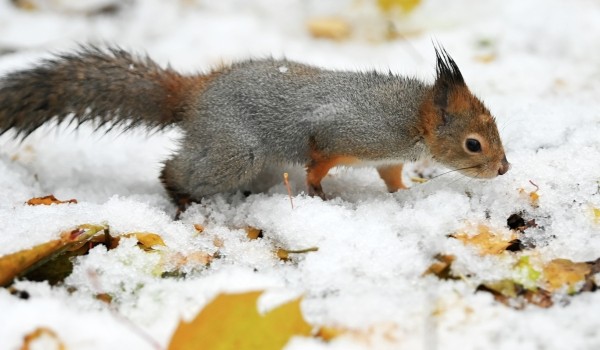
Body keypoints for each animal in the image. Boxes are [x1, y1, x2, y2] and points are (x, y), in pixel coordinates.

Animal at [0, 44, 508, 208]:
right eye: (473, 144)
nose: (504, 170)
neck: (414, 119)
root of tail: (195, 97)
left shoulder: (387, 156)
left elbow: (392, 176)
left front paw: (405, 194)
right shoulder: (352, 131)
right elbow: (317, 159)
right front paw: (320, 195)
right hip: (234, 151)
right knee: (178, 171)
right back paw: (181, 199)